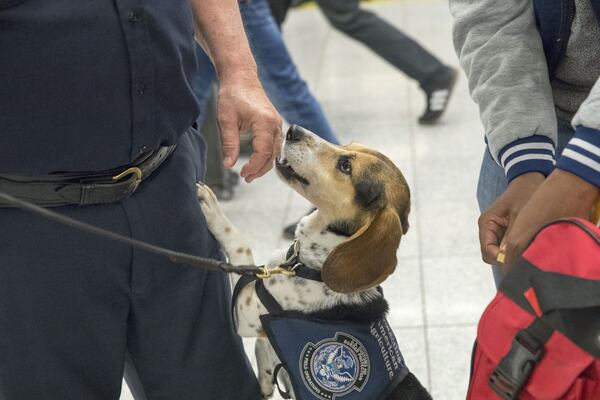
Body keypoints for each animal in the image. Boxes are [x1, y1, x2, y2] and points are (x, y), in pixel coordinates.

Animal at [197, 126, 432, 400]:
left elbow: (240, 245)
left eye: (345, 166)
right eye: (348, 146)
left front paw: (212, 207)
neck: (313, 267)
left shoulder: (245, 311)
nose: (293, 130)